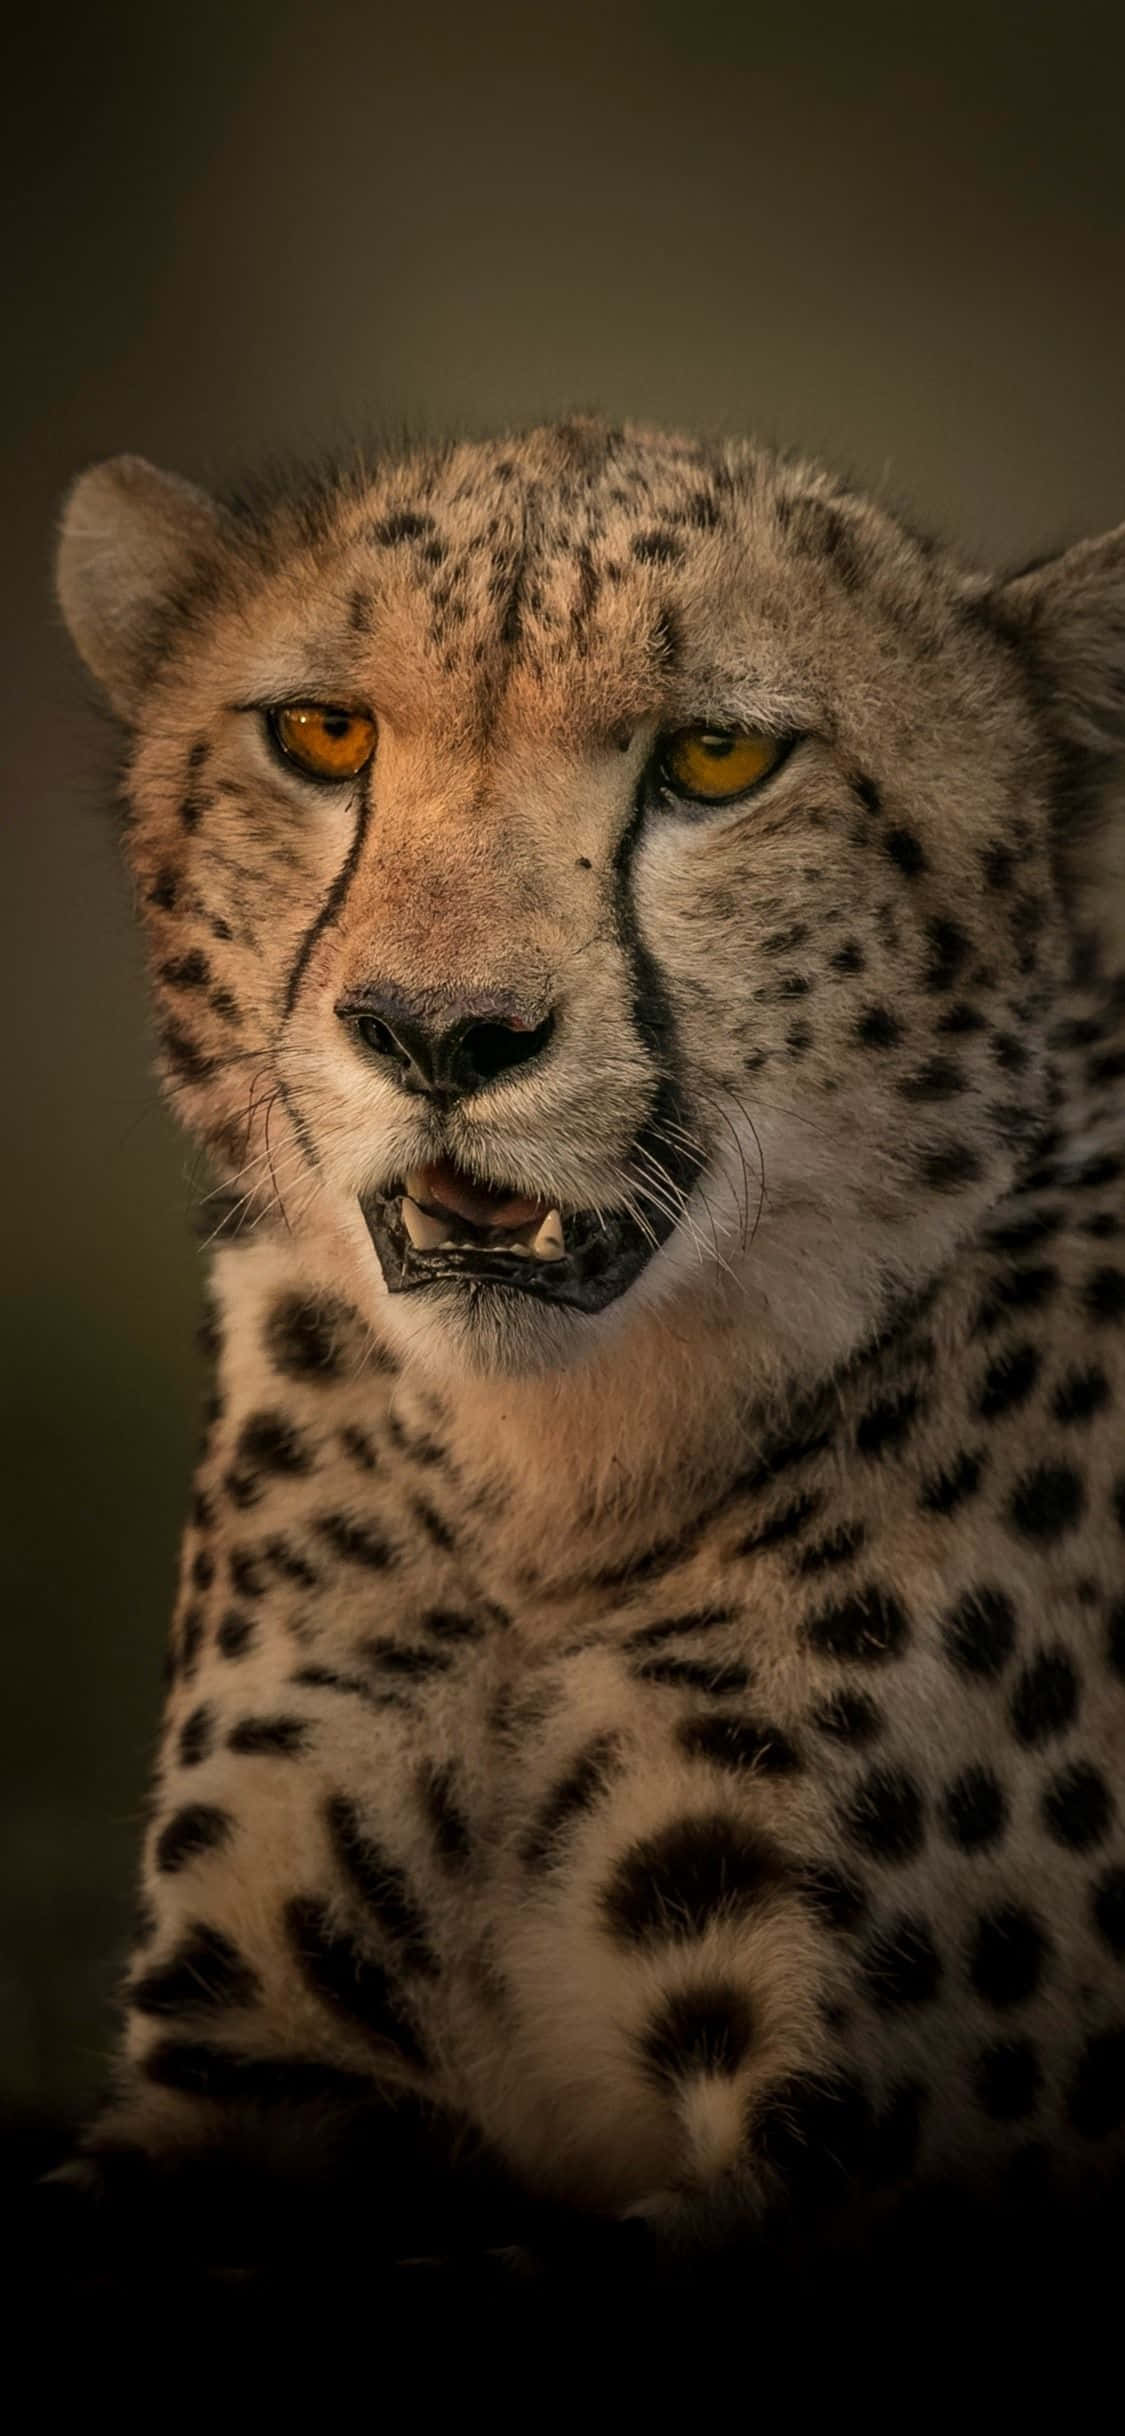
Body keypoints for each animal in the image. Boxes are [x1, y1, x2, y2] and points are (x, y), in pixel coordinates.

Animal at [50, 415, 1125, 2282]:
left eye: (718, 756)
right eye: (322, 734)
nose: (439, 1033)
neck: (551, 1497)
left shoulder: (873, 2155)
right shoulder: (254, 2064)